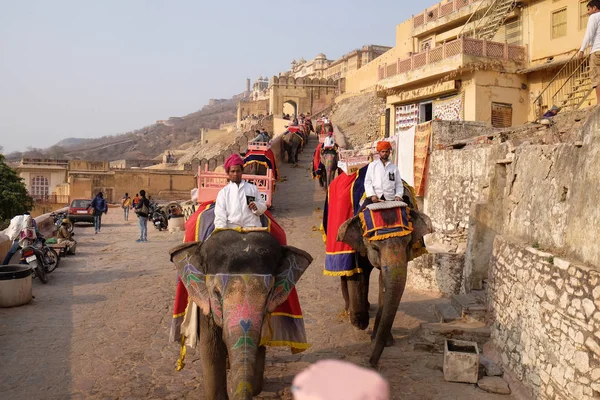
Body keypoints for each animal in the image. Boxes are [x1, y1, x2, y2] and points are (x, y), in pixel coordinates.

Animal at [338, 205, 432, 368]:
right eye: (375, 247)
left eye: (408, 245)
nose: (371, 363)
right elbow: (357, 272)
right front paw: (360, 323)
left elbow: (384, 280)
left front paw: (384, 340)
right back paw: (350, 310)